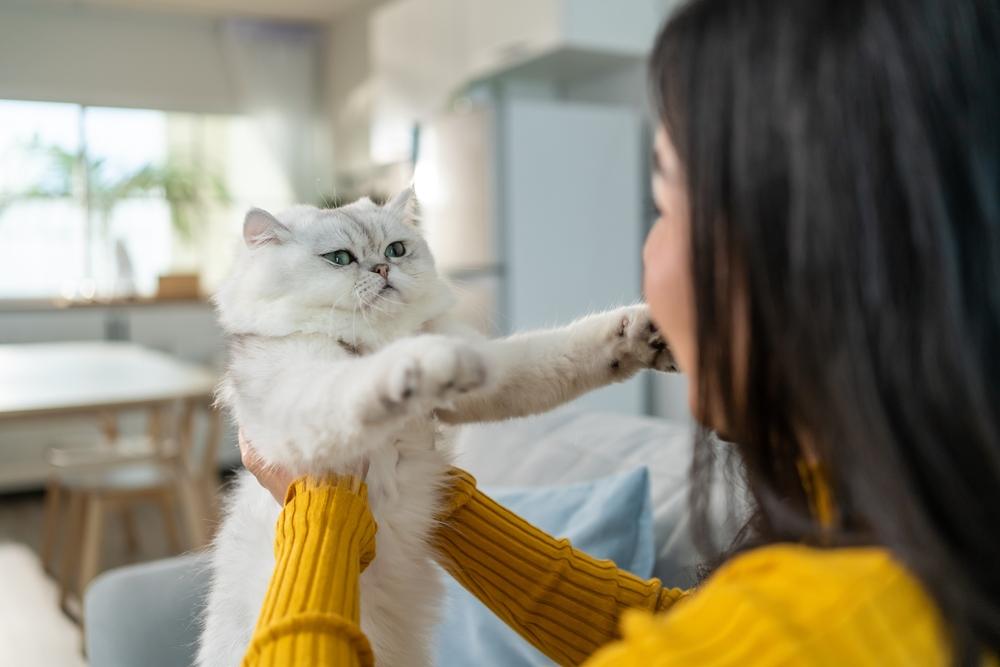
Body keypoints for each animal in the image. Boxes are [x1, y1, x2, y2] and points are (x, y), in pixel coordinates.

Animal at [198, 189, 676, 667]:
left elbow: (562, 351)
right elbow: (359, 381)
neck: (376, 338)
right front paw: (421, 363)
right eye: (339, 258)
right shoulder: (297, 400)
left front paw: (644, 335)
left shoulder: (497, 373)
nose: (382, 269)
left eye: (395, 250)